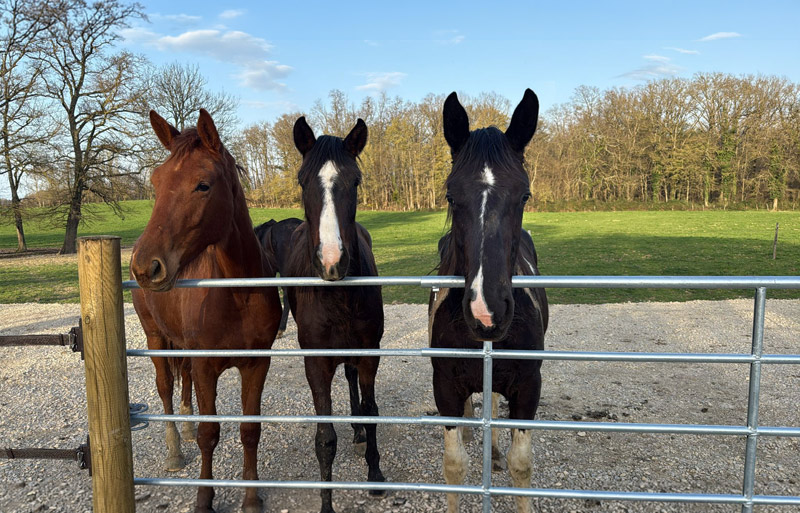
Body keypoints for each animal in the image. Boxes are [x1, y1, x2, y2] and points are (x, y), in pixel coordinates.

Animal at [130, 109, 282, 513]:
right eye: (156, 182)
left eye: (203, 185)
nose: (145, 267)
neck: (238, 295)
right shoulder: (205, 366)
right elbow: (209, 433)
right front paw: (204, 497)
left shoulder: (257, 364)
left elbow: (249, 430)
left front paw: (251, 498)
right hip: (155, 336)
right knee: (166, 388)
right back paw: (174, 450)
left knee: (182, 386)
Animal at [285, 116, 385, 513]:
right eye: (302, 180)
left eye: (355, 181)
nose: (331, 261)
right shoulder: (316, 362)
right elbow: (324, 437)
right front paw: (326, 504)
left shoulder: (370, 352)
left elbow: (372, 412)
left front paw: (375, 473)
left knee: (352, 377)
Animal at [429, 89, 548, 513]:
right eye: (450, 194)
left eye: (525, 193)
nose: (487, 311)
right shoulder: (445, 386)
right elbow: (453, 466)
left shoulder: (528, 386)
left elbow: (521, 466)